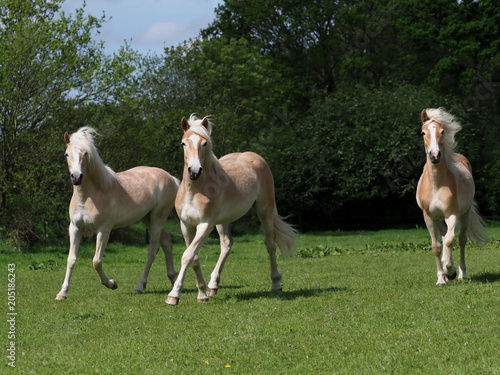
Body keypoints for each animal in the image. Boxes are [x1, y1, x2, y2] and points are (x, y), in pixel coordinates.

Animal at [56, 128, 180, 302]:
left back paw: (140, 287)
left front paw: (111, 284)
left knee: (153, 250)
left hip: (158, 218)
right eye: (67, 154)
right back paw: (173, 278)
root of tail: (171, 178)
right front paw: (62, 293)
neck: (89, 196)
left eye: (86, 153)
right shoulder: (75, 228)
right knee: (167, 242)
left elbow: (96, 261)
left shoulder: (103, 230)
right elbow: (71, 260)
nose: (76, 177)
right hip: (147, 218)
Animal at [164, 115, 296, 306]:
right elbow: (194, 258)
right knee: (226, 245)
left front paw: (174, 295)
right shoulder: (185, 225)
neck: (195, 191)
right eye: (183, 143)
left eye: (204, 143)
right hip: (224, 221)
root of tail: (254, 157)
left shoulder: (205, 225)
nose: (194, 171)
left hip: (264, 210)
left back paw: (276, 284)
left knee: (270, 244)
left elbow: (187, 256)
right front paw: (202, 293)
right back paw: (213, 286)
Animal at [416, 109, 486, 288]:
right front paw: (441, 278)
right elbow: (436, 246)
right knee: (444, 236)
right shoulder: (428, 217)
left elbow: (449, 240)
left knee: (460, 239)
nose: (434, 155)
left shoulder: (451, 214)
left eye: (442, 131)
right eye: (423, 132)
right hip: (439, 219)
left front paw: (450, 271)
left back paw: (461, 273)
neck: (436, 185)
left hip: (464, 214)